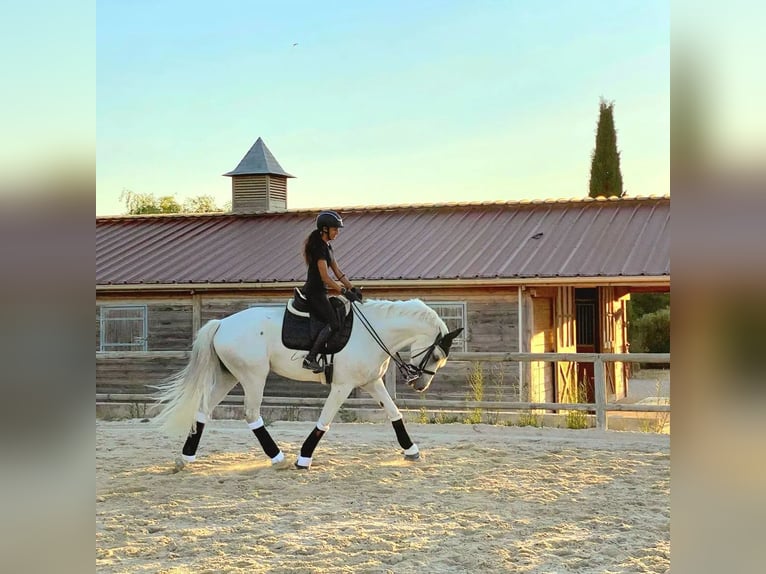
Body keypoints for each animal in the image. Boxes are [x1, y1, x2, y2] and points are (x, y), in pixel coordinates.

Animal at [153, 300, 460, 470]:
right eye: (436, 355)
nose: (420, 385)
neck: (373, 332)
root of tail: (222, 324)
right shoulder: (342, 385)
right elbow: (324, 421)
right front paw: (304, 458)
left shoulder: (371, 381)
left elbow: (395, 414)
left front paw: (412, 451)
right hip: (253, 376)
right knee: (251, 414)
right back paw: (278, 458)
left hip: (230, 376)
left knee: (203, 411)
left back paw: (186, 458)